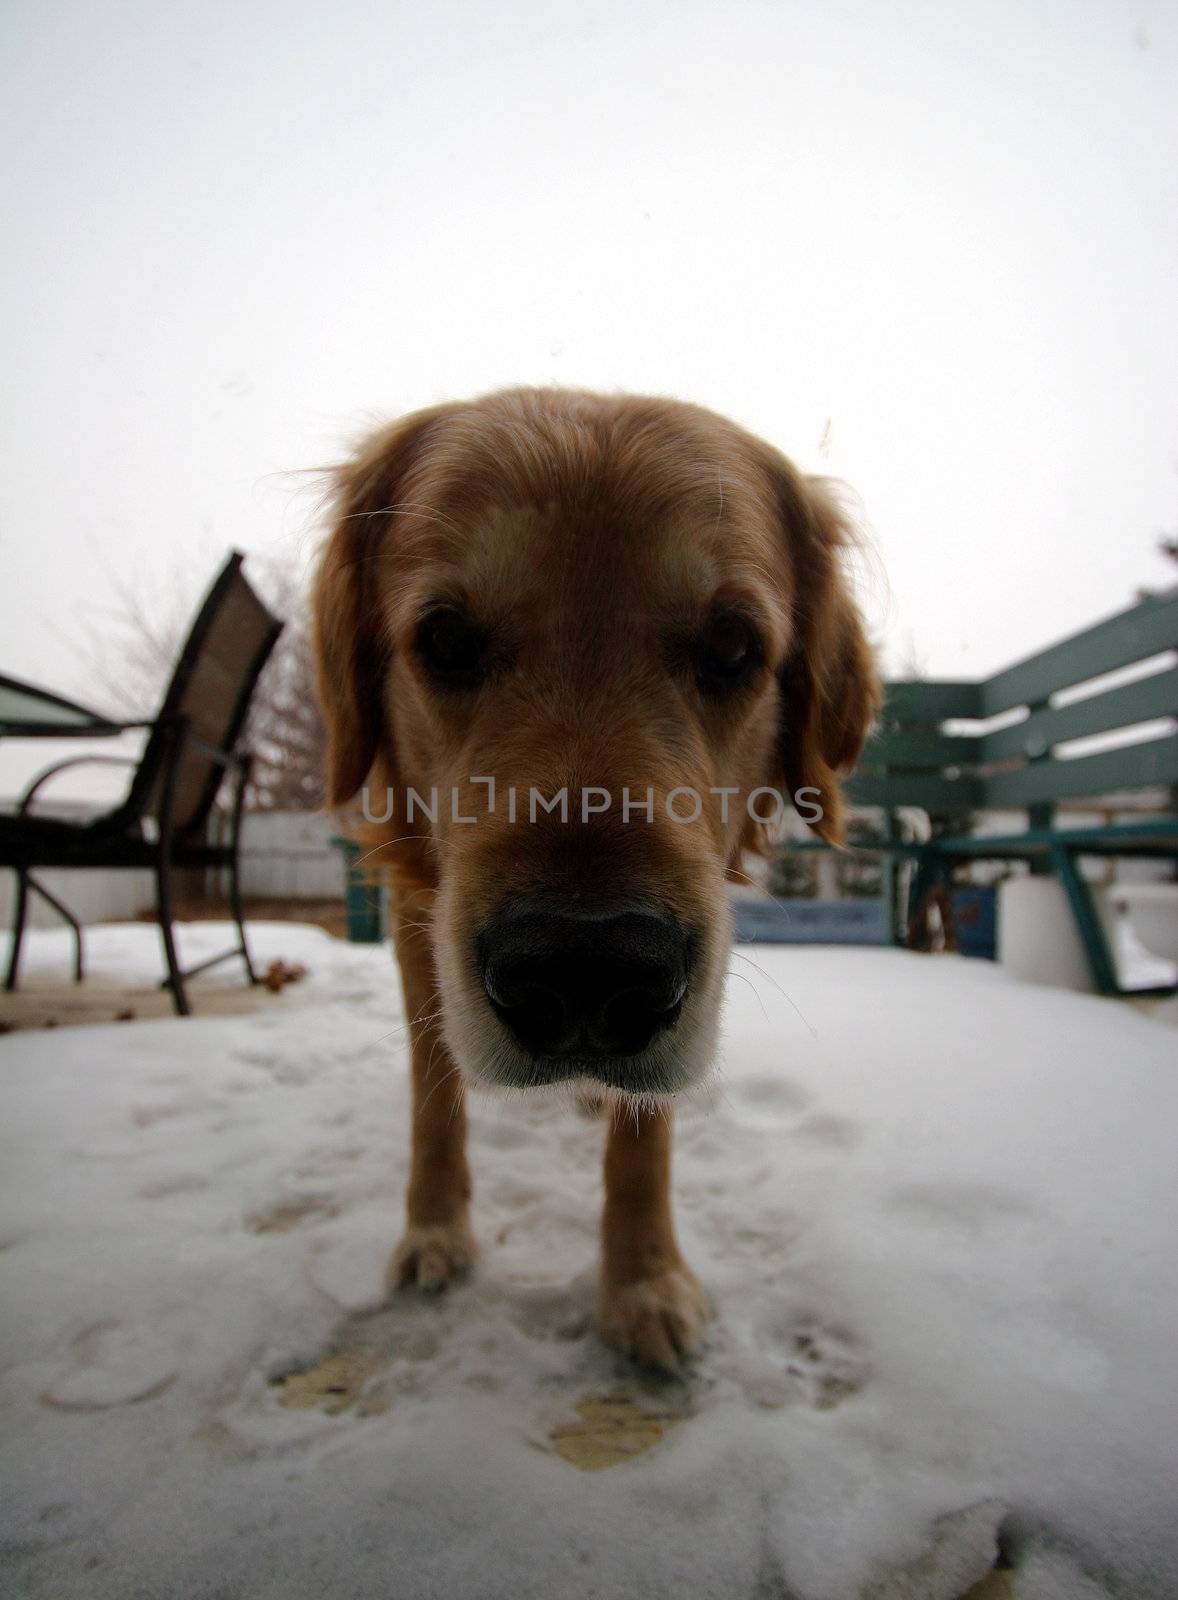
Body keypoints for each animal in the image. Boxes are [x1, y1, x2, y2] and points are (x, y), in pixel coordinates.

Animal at [308, 384, 877, 1363]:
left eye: (733, 647)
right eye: (445, 640)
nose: (583, 970)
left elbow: (644, 1134)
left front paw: (642, 1281)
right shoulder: (417, 917)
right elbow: (434, 1094)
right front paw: (433, 1231)